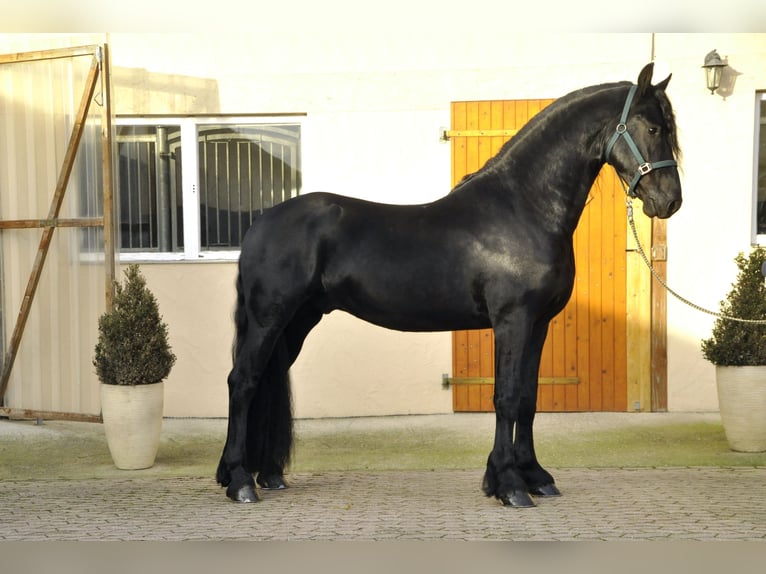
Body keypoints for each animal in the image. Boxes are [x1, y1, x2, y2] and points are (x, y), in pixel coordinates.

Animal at [216, 62, 682, 507]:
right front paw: (509, 485)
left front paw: (535, 477)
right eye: (654, 128)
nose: (670, 201)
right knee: (243, 382)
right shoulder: (512, 320)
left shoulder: (539, 324)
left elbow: (529, 399)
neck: (522, 208)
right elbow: (506, 397)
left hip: (298, 321)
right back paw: (239, 482)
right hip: (269, 319)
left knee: (266, 380)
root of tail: (261, 223)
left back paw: (265, 475)